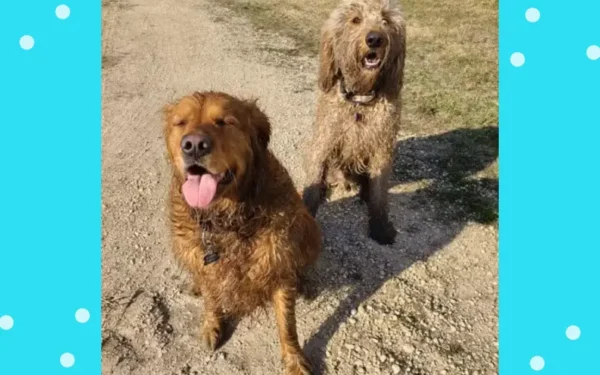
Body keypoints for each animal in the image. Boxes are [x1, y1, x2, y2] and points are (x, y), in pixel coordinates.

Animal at [163, 92, 324, 375]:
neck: (227, 220)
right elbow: (211, 298)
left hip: (309, 230)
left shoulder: (278, 263)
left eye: (225, 122)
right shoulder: (205, 264)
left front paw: (294, 360)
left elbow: (287, 323)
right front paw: (211, 325)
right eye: (180, 123)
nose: (193, 146)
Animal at [302, 0, 406, 247]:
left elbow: (380, 196)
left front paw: (380, 228)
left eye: (386, 20)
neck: (360, 101)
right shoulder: (323, 142)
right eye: (355, 19)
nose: (375, 39)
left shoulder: (382, 149)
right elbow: (312, 187)